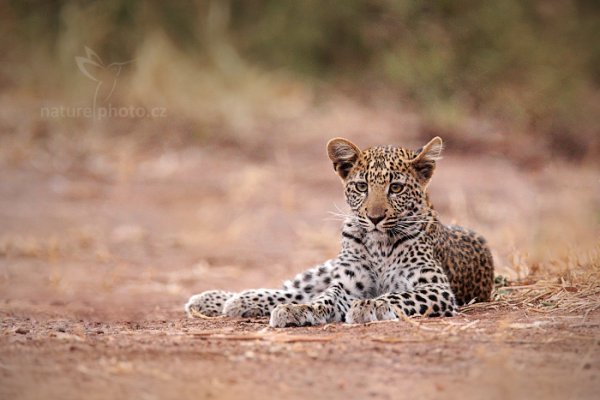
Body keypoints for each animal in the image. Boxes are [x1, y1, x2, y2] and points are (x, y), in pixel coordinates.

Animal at [185, 136, 494, 326]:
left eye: (396, 188)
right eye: (361, 186)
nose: (374, 217)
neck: (379, 244)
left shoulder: (436, 288)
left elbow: (398, 295)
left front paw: (371, 306)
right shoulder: (346, 284)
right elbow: (325, 298)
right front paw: (301, 312)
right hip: (324, 269)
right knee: (293, 289)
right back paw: (221, 299)